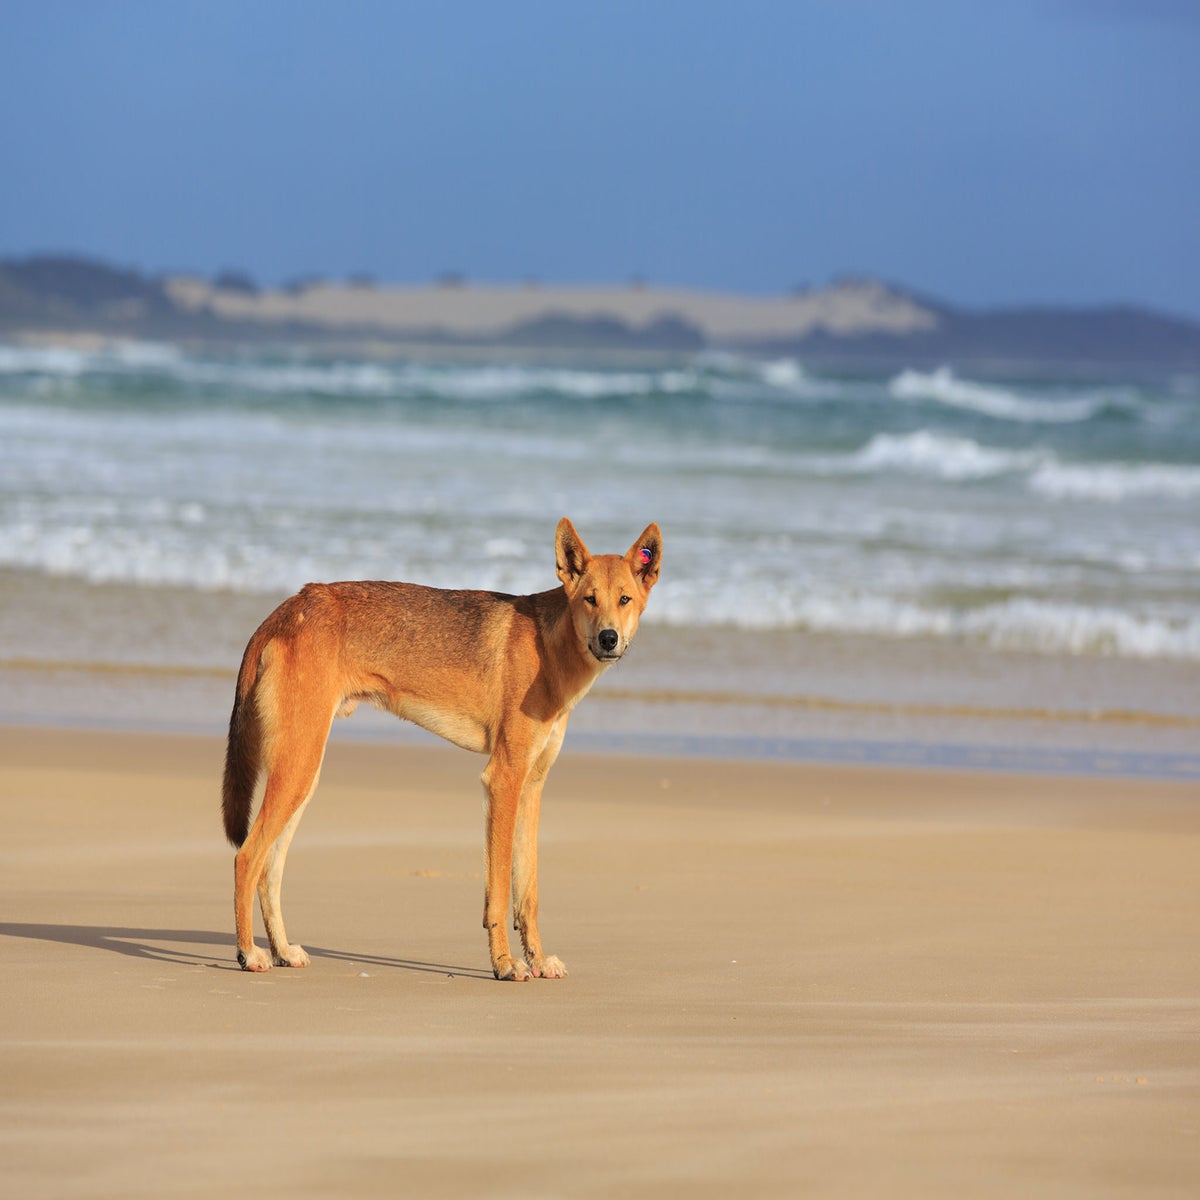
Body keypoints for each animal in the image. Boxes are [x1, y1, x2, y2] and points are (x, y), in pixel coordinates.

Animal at [220, 520, 662, 979]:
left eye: (625, 599)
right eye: (590, 599)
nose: (609, 638)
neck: (548, 647)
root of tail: (288, 607)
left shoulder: (532, 786)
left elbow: (528, 893)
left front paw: (538, 960)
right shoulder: (503, 780)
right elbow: (499, 892)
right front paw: (505, 963)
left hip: (303, 773)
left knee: (269, 870)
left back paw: (282, 950)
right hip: (298, 768)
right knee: (246, 859)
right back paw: (249, 953)